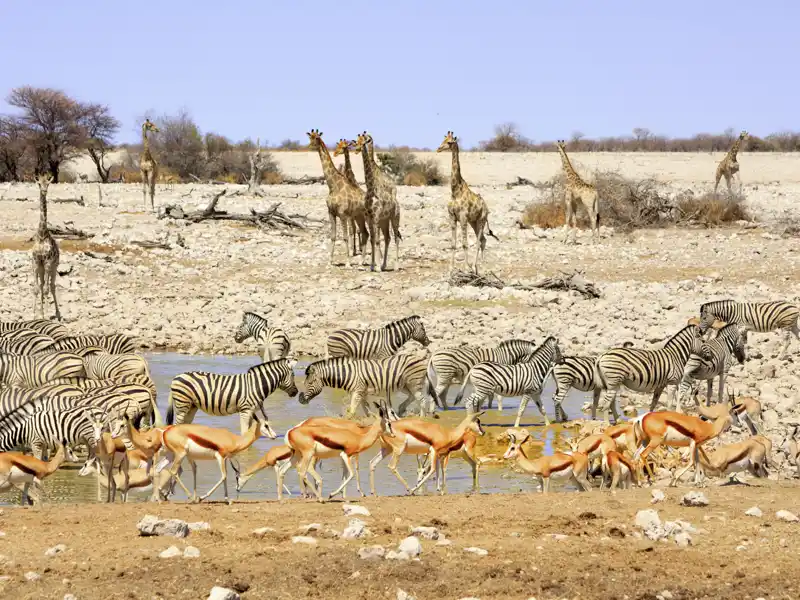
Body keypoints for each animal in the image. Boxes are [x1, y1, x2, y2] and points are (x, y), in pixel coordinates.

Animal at [167, 358, 298, 434]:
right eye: (293, 375)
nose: (296, 392)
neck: (256, 385)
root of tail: (176, 376)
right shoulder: (245, 410)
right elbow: (244, 433)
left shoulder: (251, 411)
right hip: (182, 405)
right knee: (175, 425)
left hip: (191, 406)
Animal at [300, 352, 434, 418]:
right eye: (305, 383)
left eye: (310, 383)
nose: (301, 400)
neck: (347, 374)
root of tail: (422, 359)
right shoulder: (362, 393)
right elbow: (367, 410)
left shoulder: (358, 392)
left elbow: (351, 411)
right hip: (405, 385)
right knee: (414, 397)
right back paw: (401, 410)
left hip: (413, 383)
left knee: (422, 400)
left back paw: (421, 420)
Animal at [310, 132, 378, 274]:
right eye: (310, 137)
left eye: (317, 138)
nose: (310, 145)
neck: (333, 186)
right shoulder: (331, 213)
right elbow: (333, 236)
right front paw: (330, 262)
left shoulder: (342, 214)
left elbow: (346, 237)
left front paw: (347, 263)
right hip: (358, 216)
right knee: (365, 233)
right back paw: (361, 262)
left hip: (368, 216)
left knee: (371, 234)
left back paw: (370, 263)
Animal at [354, 134, 404, 272]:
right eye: (356, 141)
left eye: (364, 141)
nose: (357, 148)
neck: (371, 190)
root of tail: (396, 202)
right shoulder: (369, 218)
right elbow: (372, 239)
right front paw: (373, 266)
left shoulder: (375, 217)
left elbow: (376, 240)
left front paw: (376, 267)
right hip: (384, 221)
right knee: (388, 238)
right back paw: (384, 265)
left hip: (394, 218)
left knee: (396, 238)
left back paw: (396, 266)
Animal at [434, 131, 496, 274]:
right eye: (443, 140)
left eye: (449, 142)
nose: (438, 149)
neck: (455, 192)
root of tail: (487, 209)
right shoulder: (452, 217)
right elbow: (453, 244)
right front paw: (451, 269)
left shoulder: (462, 217)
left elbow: (464, 243)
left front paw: (466, 268)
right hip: (473, 222)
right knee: (483, 240)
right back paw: (479, 267)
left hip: (481, 220)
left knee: (479, 241)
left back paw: (477, 267)